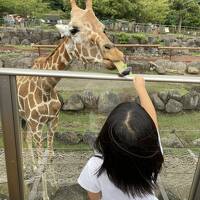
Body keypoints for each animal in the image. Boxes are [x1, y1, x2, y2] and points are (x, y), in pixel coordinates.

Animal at [16, 0, 124, 198]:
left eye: (103, 27)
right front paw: (45, 195)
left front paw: (54, 184)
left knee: (26, 139)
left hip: (27, 121)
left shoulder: (53, 121)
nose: (116, 55)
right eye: (74, 30)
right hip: (23, 119)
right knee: (24, 140)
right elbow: (42, 157)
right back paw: (29, 169)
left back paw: (32, 168)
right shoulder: (37, 124)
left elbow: (50, 155)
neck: (46, 86)